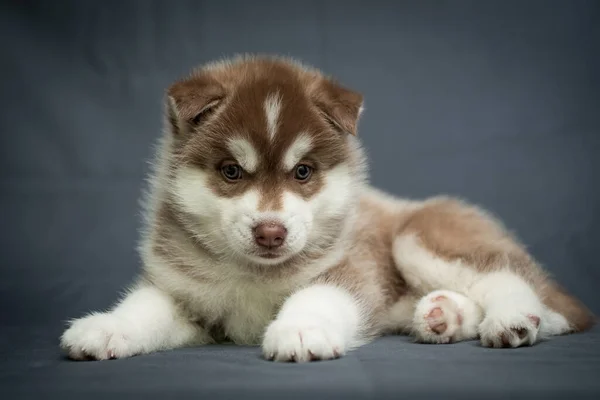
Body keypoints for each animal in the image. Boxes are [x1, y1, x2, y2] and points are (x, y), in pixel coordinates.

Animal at [58, 54, 592, 362]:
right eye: (231, 172)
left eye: (303, 172)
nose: (270, 233)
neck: (255, 274)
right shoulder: (181, 290)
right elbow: (144, 307)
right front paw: (107, 327)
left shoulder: (352, 268)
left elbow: (317, 295)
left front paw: (299, 329)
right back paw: (444, 316)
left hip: (422, 236)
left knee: (514, 280)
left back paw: (512, 320)